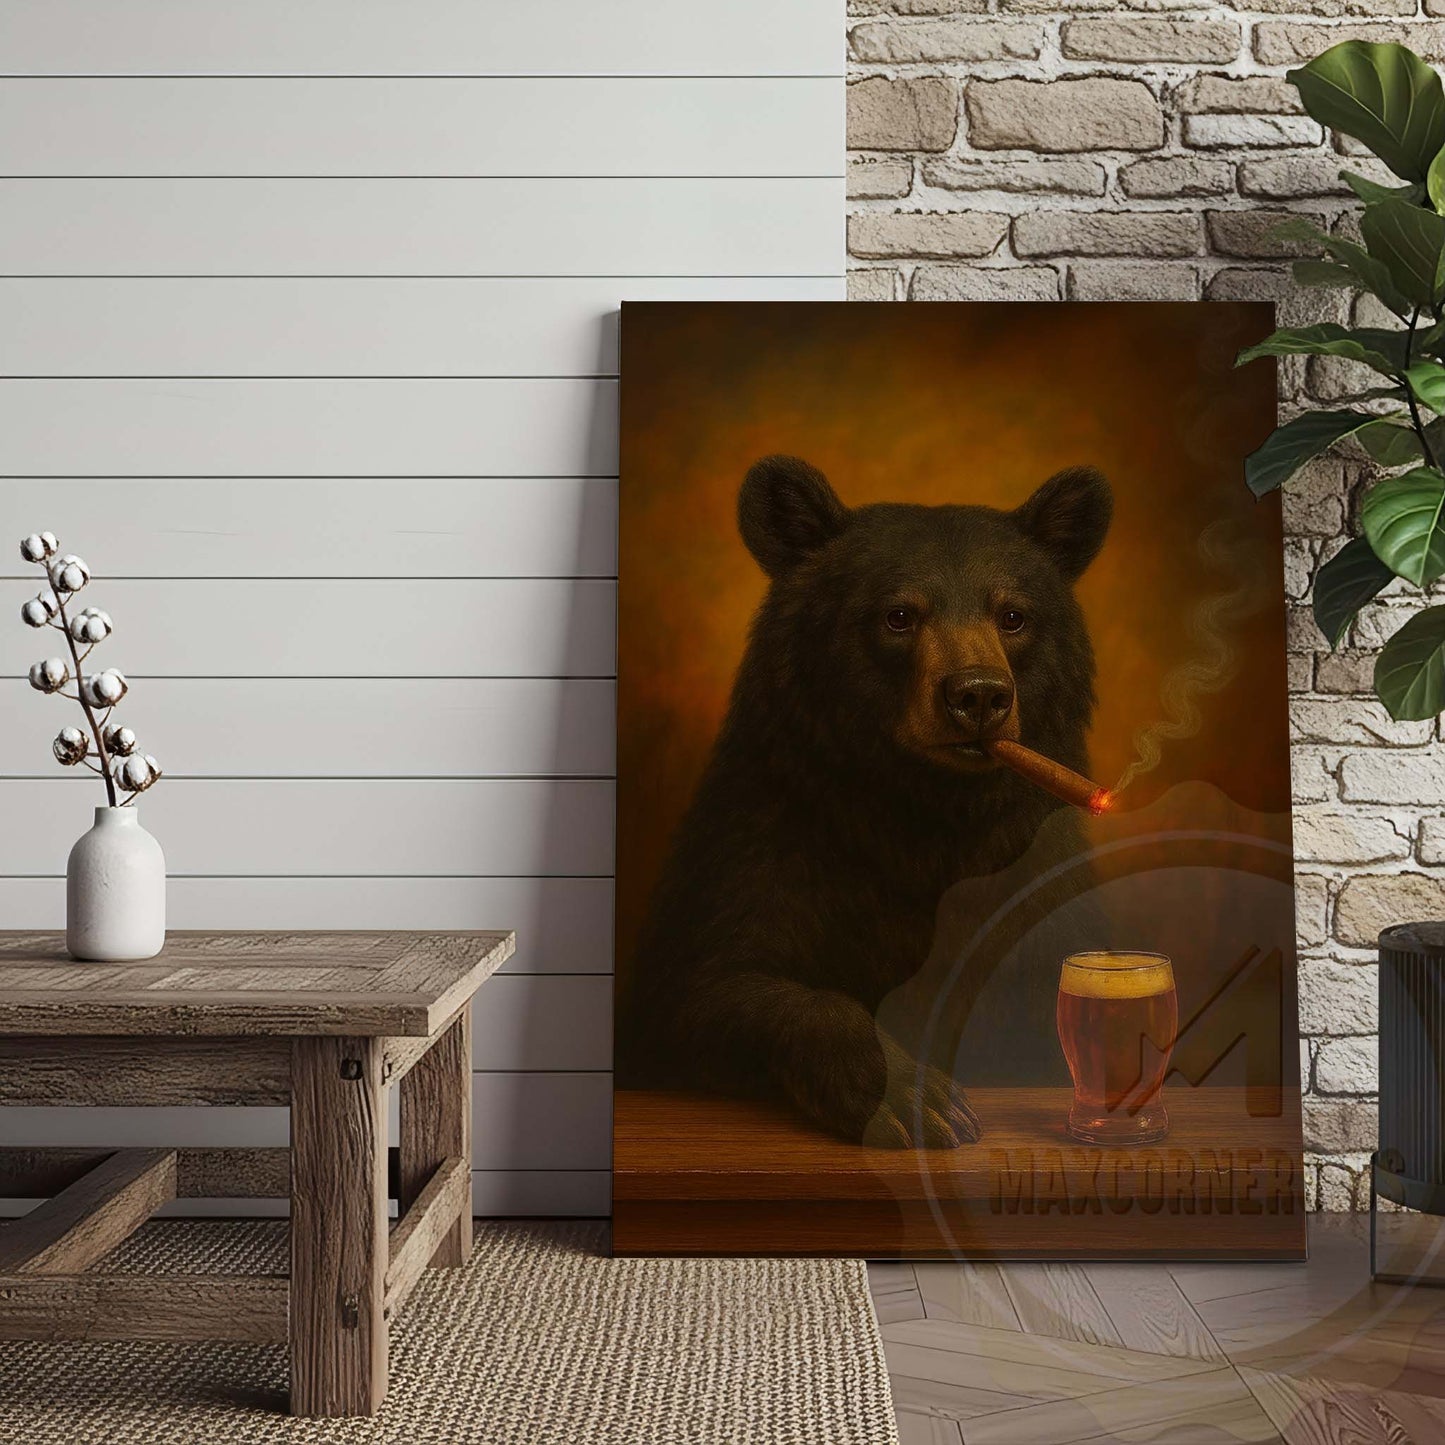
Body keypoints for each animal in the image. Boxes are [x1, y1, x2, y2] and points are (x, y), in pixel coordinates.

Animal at [619, 454, 1113, 1149]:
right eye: (899, 615)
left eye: (1013, 615)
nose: (978, 695)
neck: (918, 810)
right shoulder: (764, 842)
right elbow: (705, 988)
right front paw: (919, 1098)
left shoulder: (1036, 870)